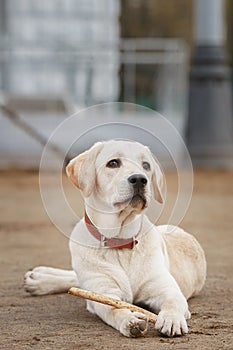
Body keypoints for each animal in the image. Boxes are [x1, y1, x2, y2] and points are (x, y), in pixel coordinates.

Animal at [24, 141, 206, 338]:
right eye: (113, 163)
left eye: (146, 165)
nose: (140, 179)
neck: (120, 241)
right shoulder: (103, 292)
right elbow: (115, 309)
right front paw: (130, 320)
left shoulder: (166, 288)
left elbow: (173, 302)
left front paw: (171, 319)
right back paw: (39, 278)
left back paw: (38, 278)